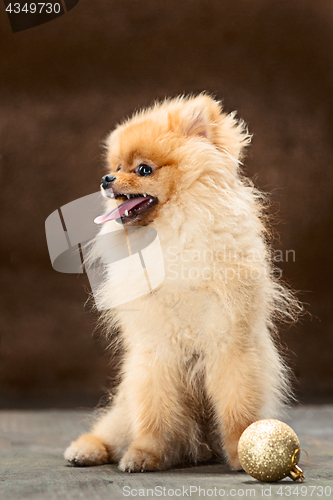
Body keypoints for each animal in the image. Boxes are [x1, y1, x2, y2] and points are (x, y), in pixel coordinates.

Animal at [63, 94, 296, 472]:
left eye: (143, 169)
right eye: (117, 166)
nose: (106, 178)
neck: (171, 232)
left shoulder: (230, 341)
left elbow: (237, 405)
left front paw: (243, 450)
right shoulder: (156, 350)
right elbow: (154, 412)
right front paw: (145, 454)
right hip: (125, 402)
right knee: (112, 429)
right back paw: (87, 449)